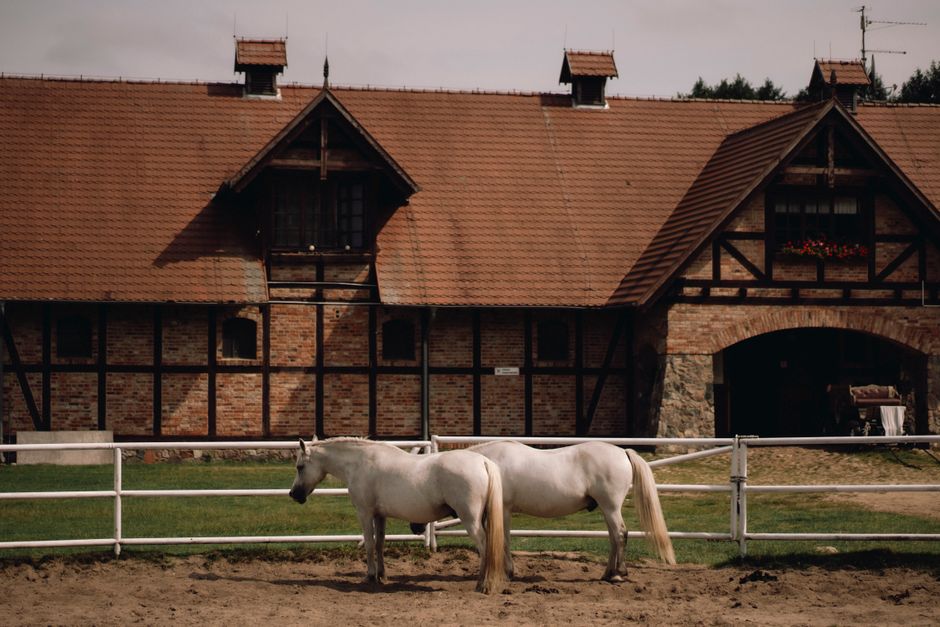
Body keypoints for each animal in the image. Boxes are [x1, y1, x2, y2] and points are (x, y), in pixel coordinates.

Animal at [289, 437, 507, 594]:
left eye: (300, 467)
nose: (293, 494)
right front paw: (382, 575)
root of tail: (483, 462)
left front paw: (370, 576)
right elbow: (379, 544)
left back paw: (483, 585)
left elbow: (369, 544)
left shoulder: (365, 513)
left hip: (471, 521)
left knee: (485, 547)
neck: (360, 463)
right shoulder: (380, 515)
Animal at [466, 440, 676, 582]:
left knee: (620, 534)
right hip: (607, 509)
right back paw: (608, 573)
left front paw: (508, 572)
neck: (490, 464)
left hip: (611, 506)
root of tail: (623, 452)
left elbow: (504, 540)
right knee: (614, 538)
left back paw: (618, 573)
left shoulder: (504, 509)